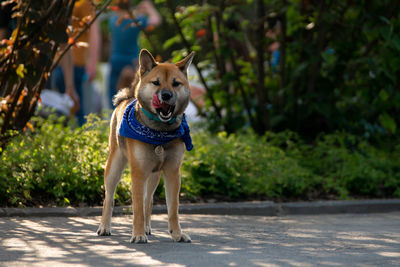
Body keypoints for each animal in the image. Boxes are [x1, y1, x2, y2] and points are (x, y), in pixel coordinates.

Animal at [97, 49, 196, 244]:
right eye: (156, 82)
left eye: (176, 83)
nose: (166, 95)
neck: (159, 132)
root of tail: (127, 98)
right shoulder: (138, 172)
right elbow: (136, 209)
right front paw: (138, 234)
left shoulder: (172, 172)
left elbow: (173, 208)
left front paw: (177, 234)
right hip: (114, 167)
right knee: (109, 199)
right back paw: (105, 226)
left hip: (154, 176)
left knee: (147, 201)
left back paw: (147, 226)